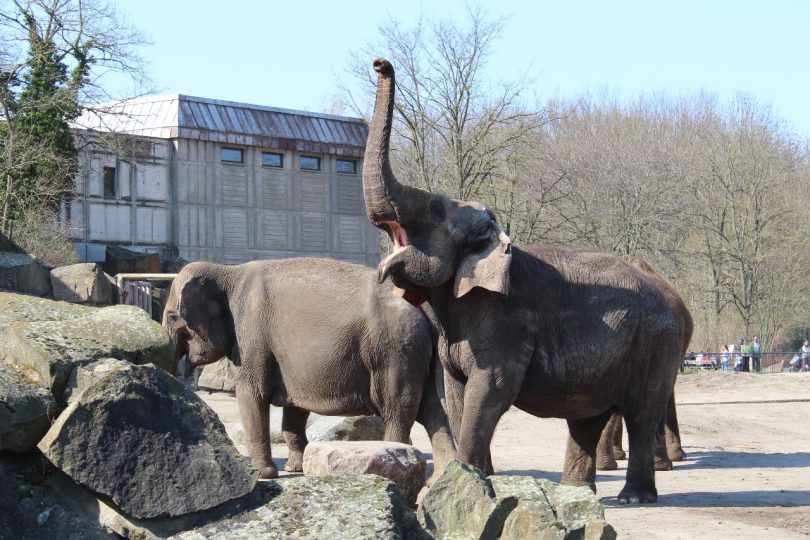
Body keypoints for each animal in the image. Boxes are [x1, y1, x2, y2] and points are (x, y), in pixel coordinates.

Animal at [162, 260, 454, 478]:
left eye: (171, 316)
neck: (227, 272)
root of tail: (427, 313)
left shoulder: (252, 336)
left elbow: (251, 394)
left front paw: (262, 474)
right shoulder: (289, 362)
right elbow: (294, 409)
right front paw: (296, 468)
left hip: (394, 352)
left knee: (397, 411)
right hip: (417, 356)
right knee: (433, 410)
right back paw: (444, 477)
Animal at [362, 57, 692, 504]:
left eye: (434, 208)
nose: (380, 63)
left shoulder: (504, 323)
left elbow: (491, 389)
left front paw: (467, 486)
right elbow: (458, 394)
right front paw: (479, 482)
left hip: (656, 341)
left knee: (641, 411)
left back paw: (632, 498)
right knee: (586, 416)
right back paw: (576, 492)